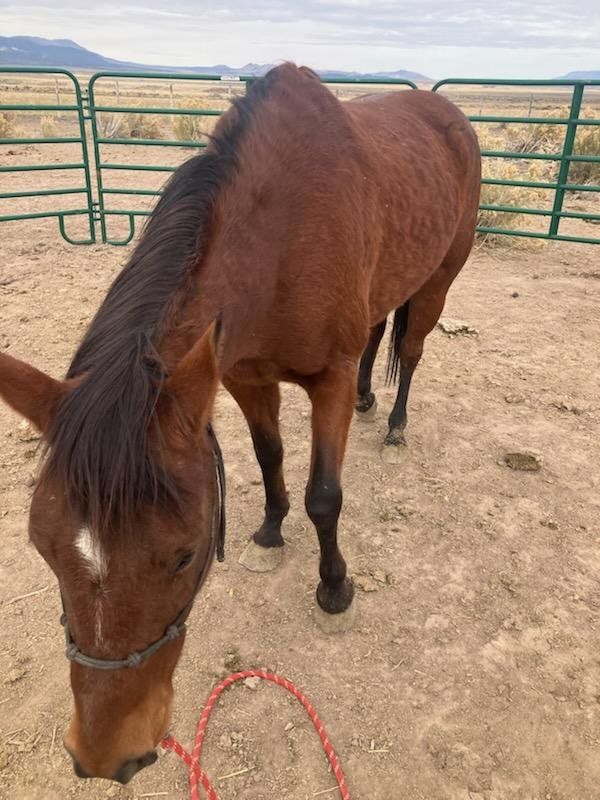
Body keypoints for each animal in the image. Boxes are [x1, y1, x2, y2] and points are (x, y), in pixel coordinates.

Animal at [0, 63, 481, 782]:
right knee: (378, 332)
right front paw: (270, 533)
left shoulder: (329, 381)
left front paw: (334, 589)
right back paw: (373, 403)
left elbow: (324, 496)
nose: (104, 756)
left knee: (413, 348)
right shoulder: (242, 376)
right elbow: (270, 457)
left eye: (185, 554)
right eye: (42, 548)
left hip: (439, 279)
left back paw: (394, 425)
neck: (281, 236)